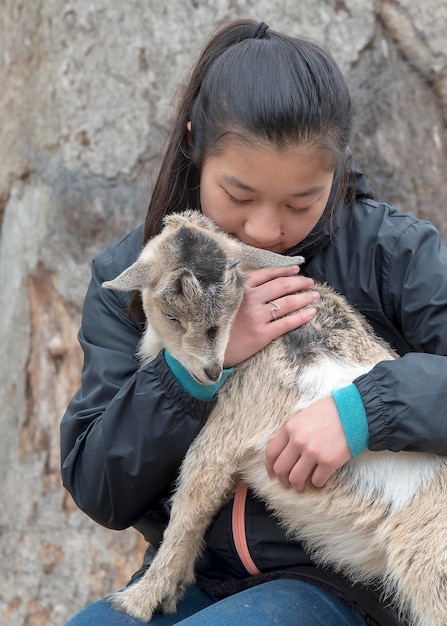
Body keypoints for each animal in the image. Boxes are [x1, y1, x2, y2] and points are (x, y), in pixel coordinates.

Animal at [102, 210, 447, 624]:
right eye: (171, 314)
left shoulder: (227, 427)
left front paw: (137, 601)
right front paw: (172, 591)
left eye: (230, 307)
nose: (211, 373)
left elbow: (188, 508)